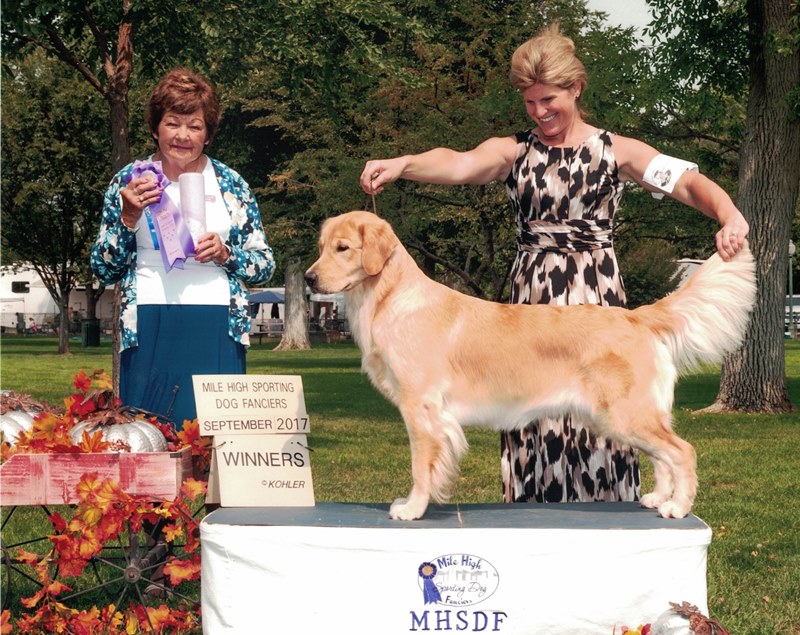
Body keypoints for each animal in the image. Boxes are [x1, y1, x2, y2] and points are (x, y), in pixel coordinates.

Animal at [305, 211, 756, 520]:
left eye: (343, 248)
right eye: (322, 247)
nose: (309, 279)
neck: (389, 298)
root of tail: (635, 317)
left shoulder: (421, 408)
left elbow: (421, 467)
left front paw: (413, 508)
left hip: (627, 414)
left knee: (683, 452)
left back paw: (678, 506)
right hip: (627, 418)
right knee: (663, 458)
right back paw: (658, 499)